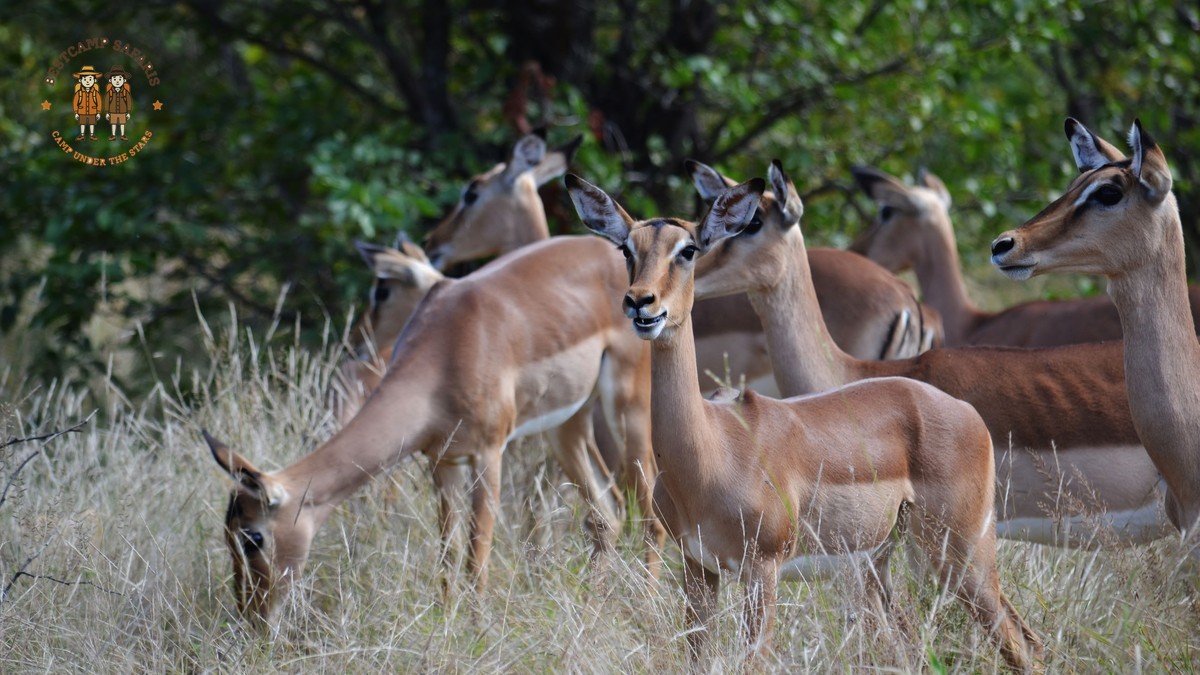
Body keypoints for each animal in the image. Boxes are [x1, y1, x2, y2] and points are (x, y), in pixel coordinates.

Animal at [204, 235, 661, 620]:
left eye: (253, 536)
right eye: (226, 535)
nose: (252, 617)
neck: (447, 349)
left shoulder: (487, 454)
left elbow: (477, 554)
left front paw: (479, 632)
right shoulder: (441, 461)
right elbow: (449, 552)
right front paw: (449, 623)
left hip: (628, 406)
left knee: (649, 508)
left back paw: (646, 612)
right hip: (567, 423)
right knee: (606, 514)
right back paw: (592, 610)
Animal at [565, 173, 1041, 670]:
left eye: (688, 249)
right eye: (626, 248)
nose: (641, 303)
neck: (709, 451)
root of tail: (966, 412)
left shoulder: (762, 572)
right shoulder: (698, 570)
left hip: (964, 556)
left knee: (1024, 644)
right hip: (890, 560)